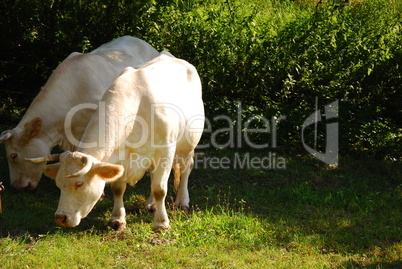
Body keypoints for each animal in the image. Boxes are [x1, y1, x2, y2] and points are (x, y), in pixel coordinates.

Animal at [29, 52, 204, 230]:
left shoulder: (165, 151)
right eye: (58, 183)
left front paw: (161, 223)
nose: (60, 218)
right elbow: (118, 188)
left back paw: (182, 201)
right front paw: (117, 219)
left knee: (186, 168)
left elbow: (159, 189)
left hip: (188, 144)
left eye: (79, 183)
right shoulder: (120, 156)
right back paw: (152, 205)